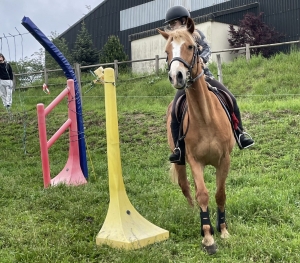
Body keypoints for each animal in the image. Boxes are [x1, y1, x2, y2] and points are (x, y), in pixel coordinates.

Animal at [157, 17, 237, 256]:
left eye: (192, 46)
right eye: (166, 51)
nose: (177, 77)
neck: (205, 118)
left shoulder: (224, 160)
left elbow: (220, 194)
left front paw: (223, 230)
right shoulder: (194, 160)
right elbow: (202, 194)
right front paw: (208, 237)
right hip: (180, 160)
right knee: (185, 186)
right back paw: (196, 216)